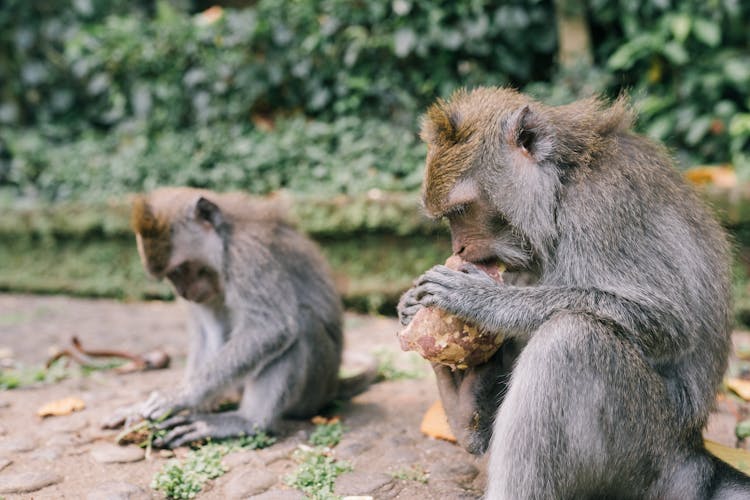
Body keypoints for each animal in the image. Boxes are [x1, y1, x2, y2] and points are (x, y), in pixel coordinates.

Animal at [400, 88, 750, 498]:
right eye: (448, 217)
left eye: (461, 210)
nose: (459, 249)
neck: (563, 182)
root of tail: (692, 455)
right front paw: (409, 305)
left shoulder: (600, 211)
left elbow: (668, 322)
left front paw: (480, 299)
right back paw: (465, 405)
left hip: (646, 448)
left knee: (571, 339)